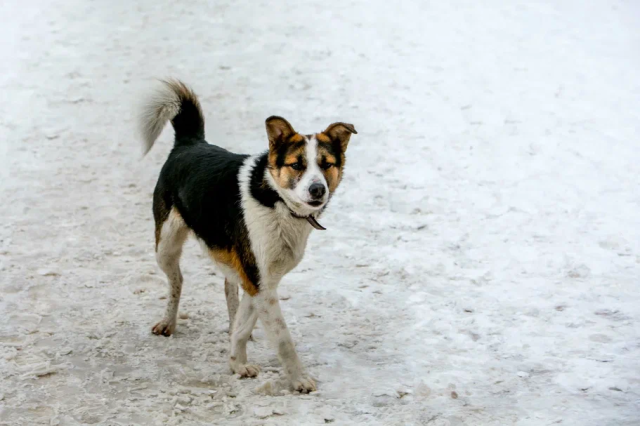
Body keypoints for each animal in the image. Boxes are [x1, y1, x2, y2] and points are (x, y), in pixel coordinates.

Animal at [138, 80, 356, 392]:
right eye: (297, 165)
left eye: (326, 164)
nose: (317, 190)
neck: (278, 202)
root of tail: (191, 142)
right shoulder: (259, 280)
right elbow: (283, 339)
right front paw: (298, 379)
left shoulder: (260, 279)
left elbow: (243, 326)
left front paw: (237, 364)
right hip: (166, 246)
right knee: (176, 281)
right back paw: (168, 322)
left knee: (228, 287)